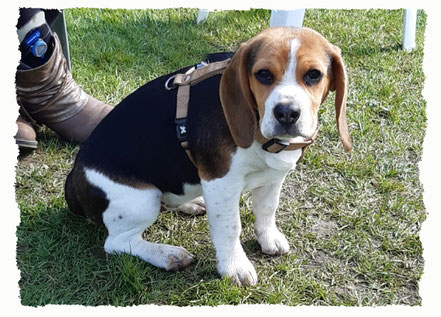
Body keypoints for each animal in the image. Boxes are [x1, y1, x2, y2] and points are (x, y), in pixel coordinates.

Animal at [64, 26, 350, 286]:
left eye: (313, 75)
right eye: (263, 74)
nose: (287, 113)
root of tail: (72, 181)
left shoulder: (273, 176)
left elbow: (267, 209)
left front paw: (268, 238)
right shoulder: (221, 183)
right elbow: (230, 226)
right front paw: (234, 266)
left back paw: (190, 203)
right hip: (141, 201)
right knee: (118, 243)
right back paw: (167, 255)